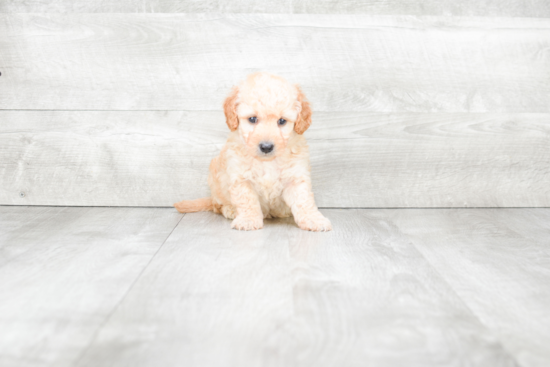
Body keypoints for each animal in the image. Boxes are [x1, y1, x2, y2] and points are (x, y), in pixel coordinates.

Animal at [176, 72, 332, 233]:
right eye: (252, 119)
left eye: (282, 121)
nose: (266, 147)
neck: (267, 162)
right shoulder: (241, 178)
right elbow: (247, 200)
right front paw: (248, 220)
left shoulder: (296, 176)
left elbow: (304, 200)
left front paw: (314, 219)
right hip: (215, 180)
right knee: (217, 206)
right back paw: (230, 209)